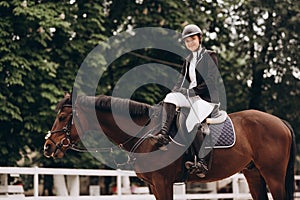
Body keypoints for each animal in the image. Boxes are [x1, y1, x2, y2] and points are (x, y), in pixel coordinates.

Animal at [43, 93, 294, 199]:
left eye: (63, 118)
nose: (48, 146)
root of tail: (279, 121)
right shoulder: (155, 185)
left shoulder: (163, 182)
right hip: (253, 174)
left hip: (273, 175)